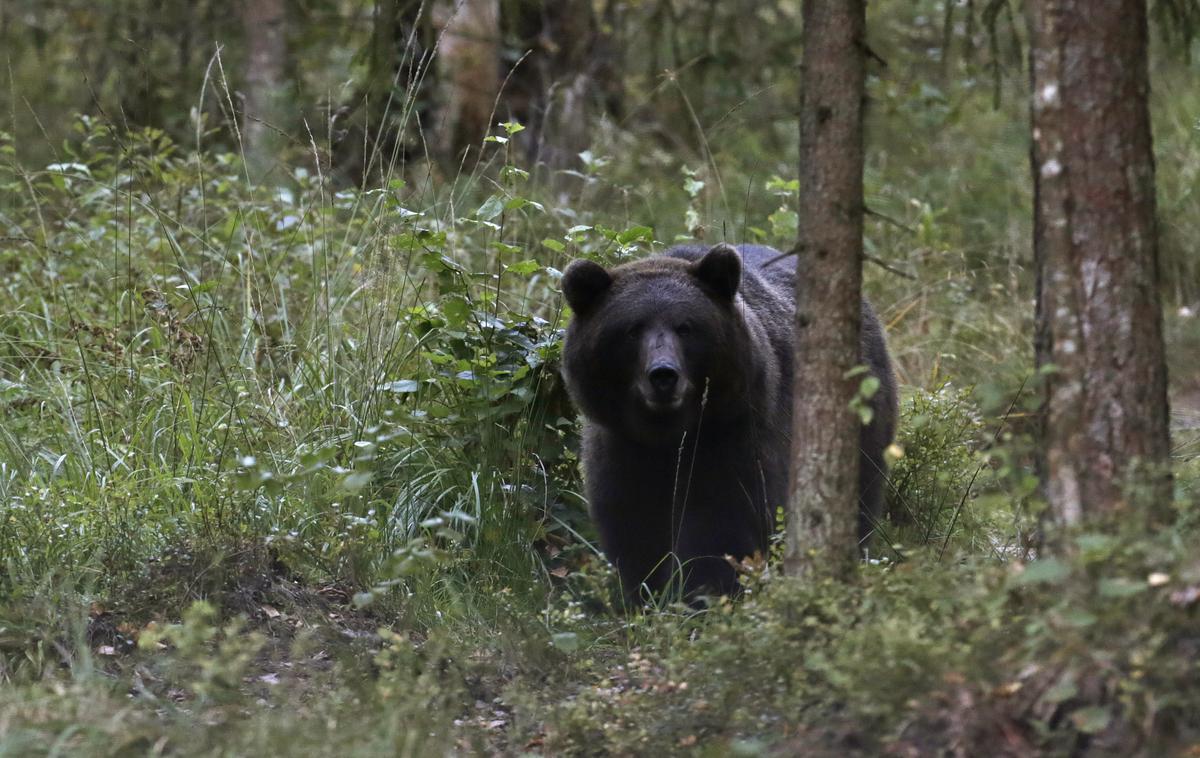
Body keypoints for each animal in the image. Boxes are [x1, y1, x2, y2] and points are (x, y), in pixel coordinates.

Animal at [559, 241, 892, 597]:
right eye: (632, 329)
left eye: (685, 327)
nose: (663, 375)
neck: (669, 436)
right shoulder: (621, 448)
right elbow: (635, 529)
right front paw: (646, 592)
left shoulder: (734, 441)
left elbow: (719, 527)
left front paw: (701, 592)